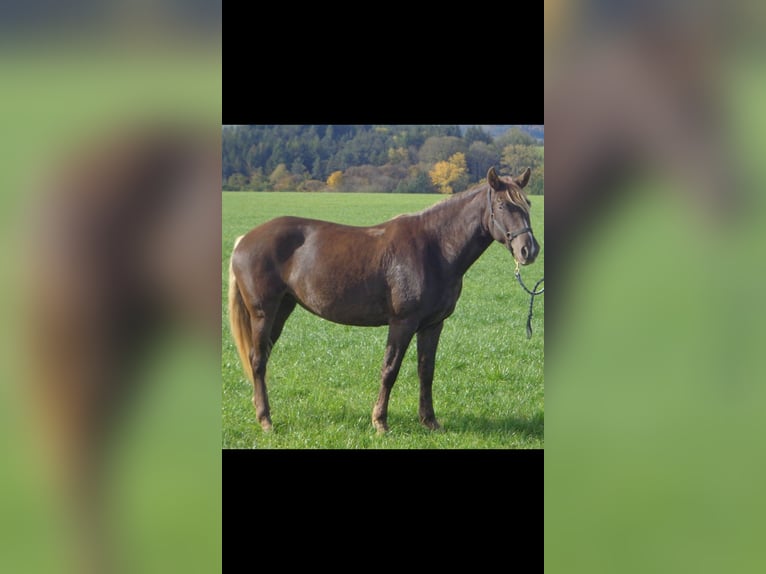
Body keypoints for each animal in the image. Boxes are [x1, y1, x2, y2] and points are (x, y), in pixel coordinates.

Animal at [228, 165, 540, 432]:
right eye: (502, 206)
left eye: (527, 204)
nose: (529, 250)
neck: (435, 247)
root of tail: (244, 240)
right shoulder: (402, 323)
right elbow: (390, 370)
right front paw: (380, 422)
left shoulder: (432, 325)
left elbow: (426, 370)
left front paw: (429, 421)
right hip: (263, 314)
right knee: (258, 360)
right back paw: (266, 420)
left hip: (282, 310)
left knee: (263, 357)